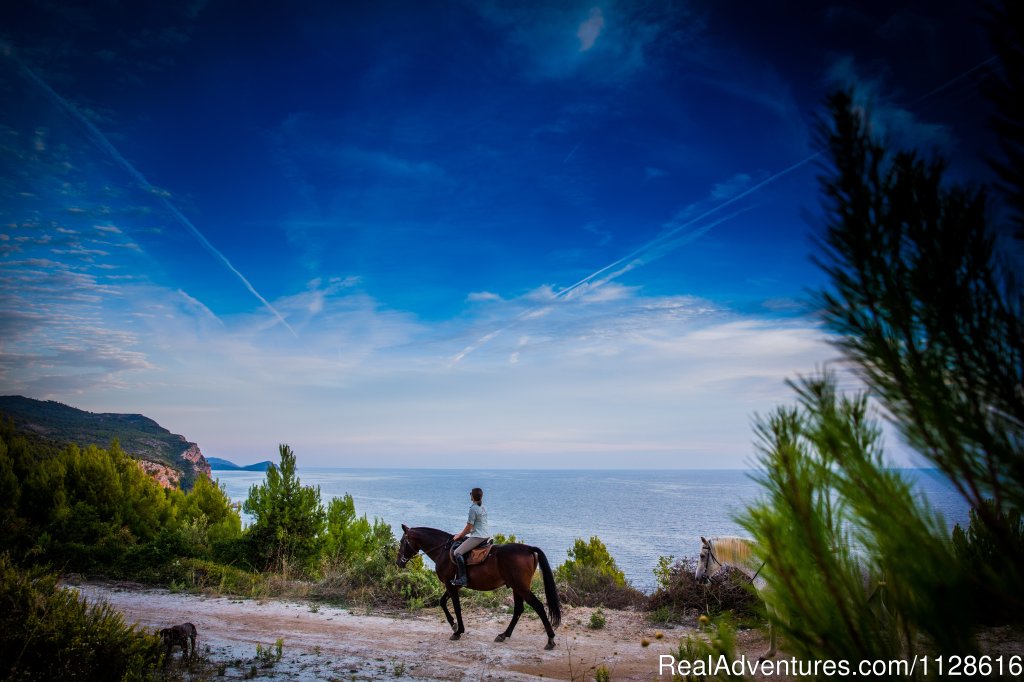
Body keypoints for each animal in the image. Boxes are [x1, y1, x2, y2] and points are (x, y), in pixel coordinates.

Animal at [397, 522, 561, 647]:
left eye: (402, 542)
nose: (399, 562)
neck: (442, 550)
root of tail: (529, 549)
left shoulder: (450, 585)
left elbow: (456, 607)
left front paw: (458, 631)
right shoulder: (454, 584)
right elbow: (442, 602)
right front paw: (454, 625)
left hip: (521, 587)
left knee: (538, 607)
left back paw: (550, 640)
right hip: (516, 587)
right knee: (518, 610)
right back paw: (503, 635)